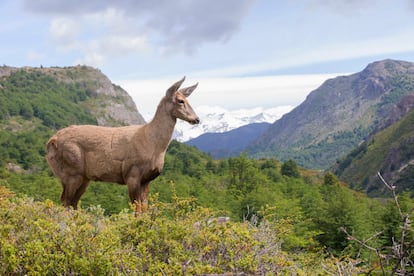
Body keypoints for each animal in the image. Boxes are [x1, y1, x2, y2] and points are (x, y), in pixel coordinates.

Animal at [46, 76, 200, 215]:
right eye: (180, 101)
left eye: (187, 100)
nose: (196, 119)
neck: (152, 144)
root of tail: (51, 142)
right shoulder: (132, 173)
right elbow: (137, 210)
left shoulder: (147, 179)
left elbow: (144, 208)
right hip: (71, 170)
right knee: (65, 201)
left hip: (83, 176)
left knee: (73, 203)